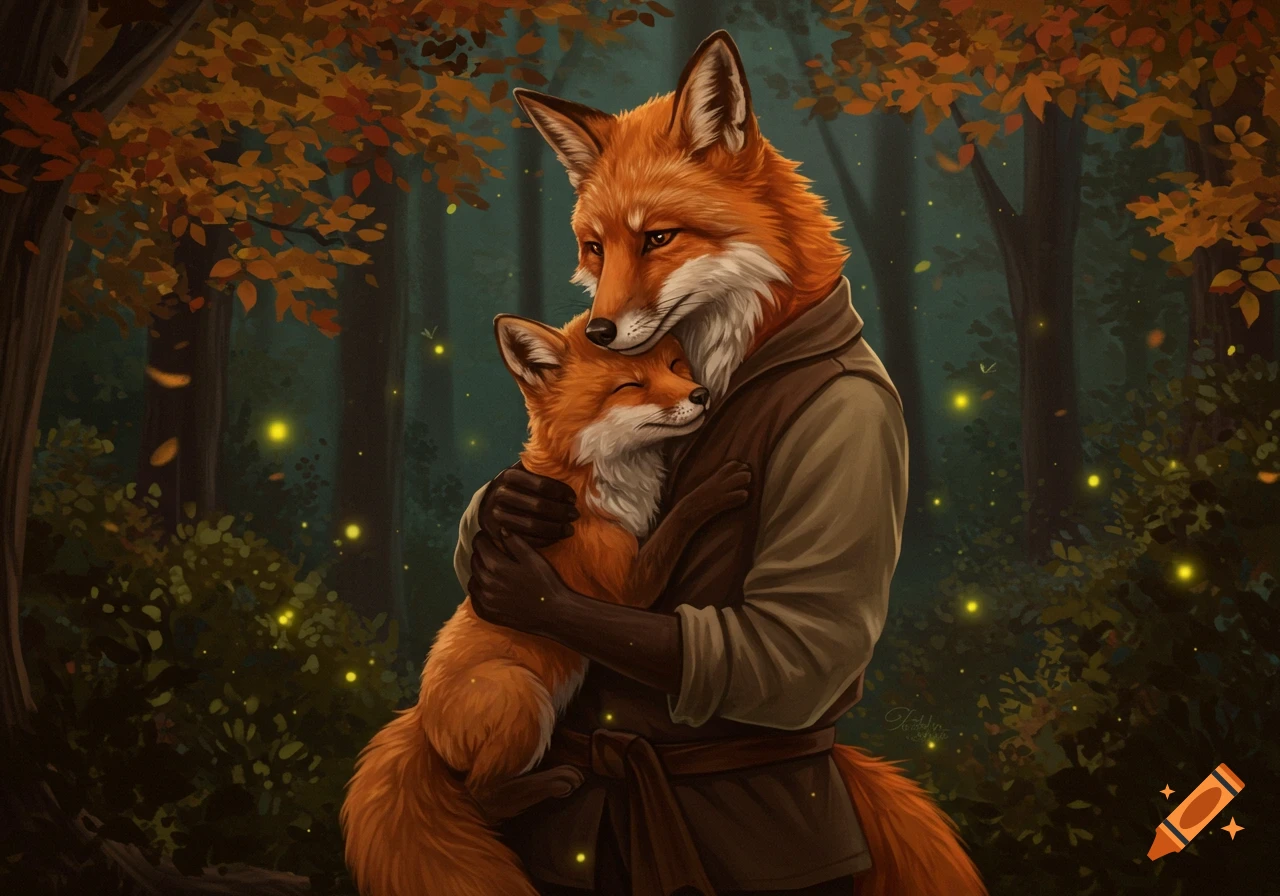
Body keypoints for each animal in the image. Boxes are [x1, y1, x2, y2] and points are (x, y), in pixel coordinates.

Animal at [340, 312, 752, 896]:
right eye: (631, 386)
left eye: (676, 366)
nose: (701, 394)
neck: (593, 486)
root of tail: (421, 720)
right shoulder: (628, 587)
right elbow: (677, 523)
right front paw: (712, 490)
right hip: (521, 696)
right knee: (481, 798)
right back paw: (551, 782)